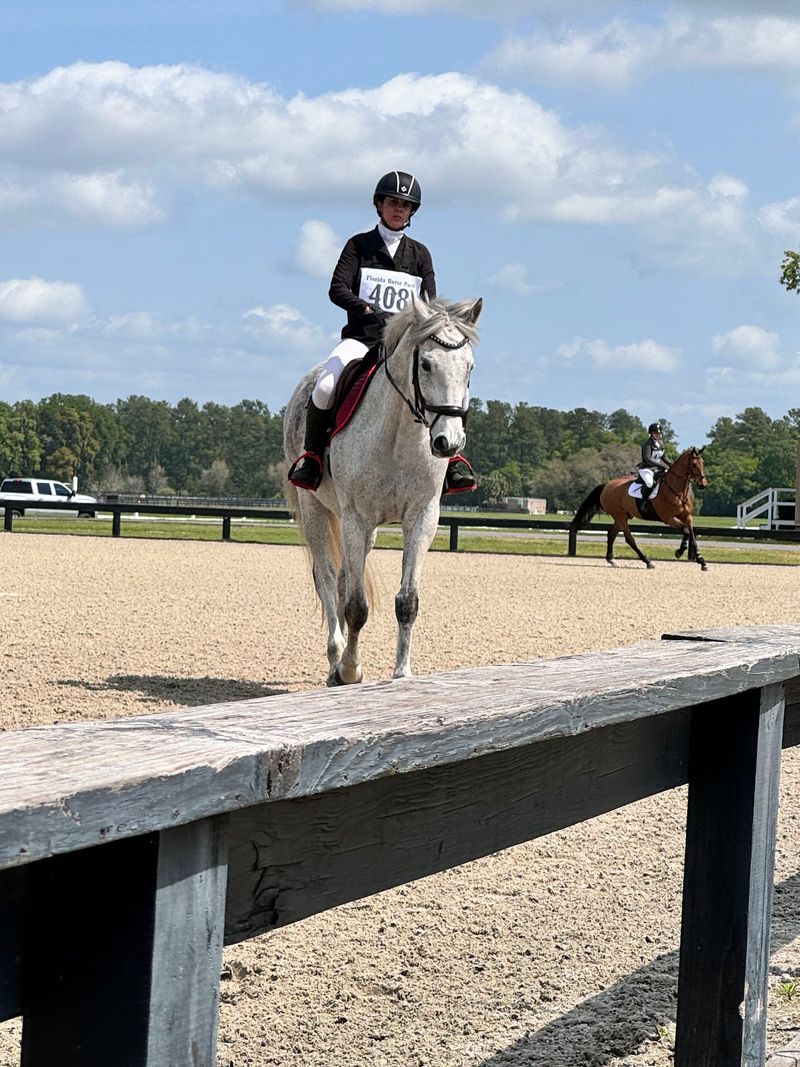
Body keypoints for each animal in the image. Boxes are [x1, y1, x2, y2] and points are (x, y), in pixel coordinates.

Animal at [284, 296, 482, 686]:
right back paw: (335, 660)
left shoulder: (421, 517)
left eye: (469, 367)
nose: (448, 442)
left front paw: (402, 674)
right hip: (316, 508)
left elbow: (407, 602)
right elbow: (356, 607)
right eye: (426, 364)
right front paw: (350, 670)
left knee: (343, 578)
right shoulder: (355, 518)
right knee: (326, 578)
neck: (399, 436)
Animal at [568, 446, 709, 571]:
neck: (677, 492)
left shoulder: (687, 517)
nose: (703, 485)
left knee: (611, 534)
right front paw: (679, 552)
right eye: (694, 464)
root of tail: (607, 485)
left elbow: (692, 537)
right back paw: (647, 561)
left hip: (622, 517)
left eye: (702, 463)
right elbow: (686, 532)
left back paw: (611, 560)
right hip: (620, 516)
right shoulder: (669, 518)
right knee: (629, 539)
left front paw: (702, 562)